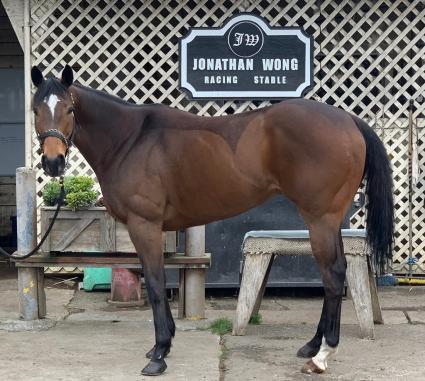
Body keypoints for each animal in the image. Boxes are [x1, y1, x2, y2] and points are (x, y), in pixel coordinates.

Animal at [31, 64, 392, 374]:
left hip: (321, 219)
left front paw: (159, 353)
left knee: (333, 275)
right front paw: (163, 344)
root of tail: (348, 120)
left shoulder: (144, 225)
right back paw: (313, 345)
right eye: (36, 110)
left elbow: (156, 284)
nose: (53, 162)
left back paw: (322, 356)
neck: (130, 139)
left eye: (70, 110)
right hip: (328, 221)